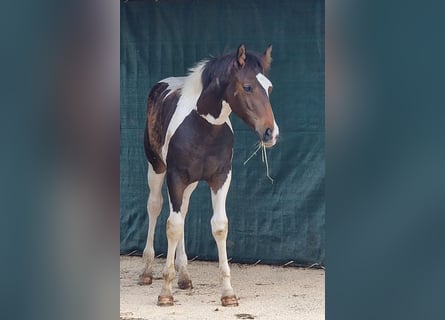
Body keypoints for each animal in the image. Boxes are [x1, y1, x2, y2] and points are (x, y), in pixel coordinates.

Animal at [140, 43, 278, 306]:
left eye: (269, 88)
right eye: (247, 86)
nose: (270, 133)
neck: (202, 127)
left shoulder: (221, 178)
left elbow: (219, 226)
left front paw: (228, 293)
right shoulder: (175, 177)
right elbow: (172, 225)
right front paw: (165, 292)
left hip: (190, 183)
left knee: (183, 210)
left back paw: (184, 275)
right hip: (157, 169)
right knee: (155, 206)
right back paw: (147, 271)